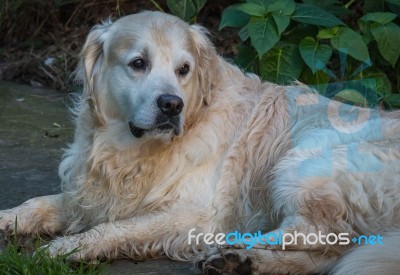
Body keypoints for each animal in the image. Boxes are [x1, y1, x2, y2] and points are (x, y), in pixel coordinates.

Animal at [0, 10, 400, 274]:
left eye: (184, 70)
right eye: (138, 63)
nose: (171, 105)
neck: (131, 153)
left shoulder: (196, 212)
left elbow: (118, 227)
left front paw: (67, 247)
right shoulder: (90, 194)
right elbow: (40, 204)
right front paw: (9, 220)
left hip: (305, 164)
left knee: (319, 236)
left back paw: (233, 251)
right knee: (325, 252)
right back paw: (241, 262)